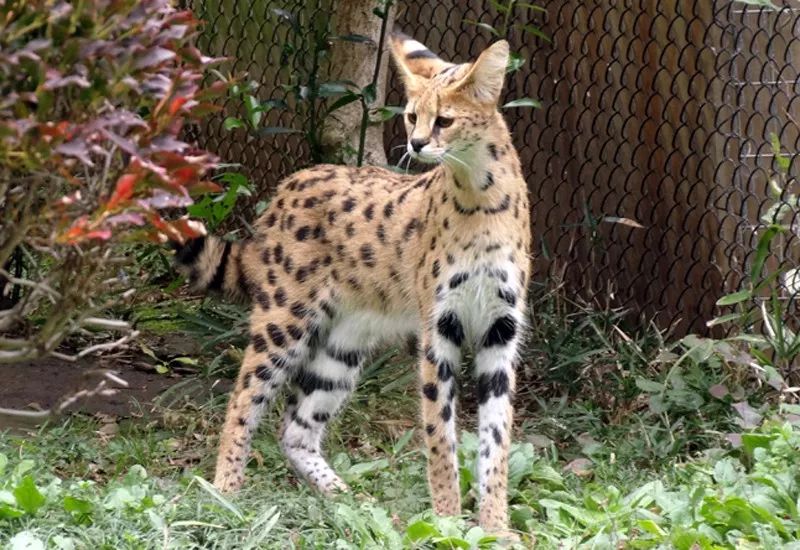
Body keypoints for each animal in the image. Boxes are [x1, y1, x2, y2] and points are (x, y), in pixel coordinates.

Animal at [173, 33, 532, 536]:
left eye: (444, 120)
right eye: (411, 116)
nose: (416, 144)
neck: (480, 193)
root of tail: (289, 184)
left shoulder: (501, 329)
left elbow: (495, 440)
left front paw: (494, 526)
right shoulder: (439, 331)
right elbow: (440, 435)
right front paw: (446, 521)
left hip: (343, 346)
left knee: (295, 429)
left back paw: (347, 501)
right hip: (284, 321)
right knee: (242, 399)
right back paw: (226, 492)